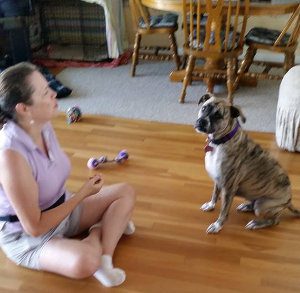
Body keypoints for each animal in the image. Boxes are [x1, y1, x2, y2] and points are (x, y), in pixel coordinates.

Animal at [195, 93, 300, 233]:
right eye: (204, 108)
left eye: (218, 116)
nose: (201, 122)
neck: (221, 141)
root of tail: (289, 199)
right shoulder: (218, 180)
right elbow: (214, 194)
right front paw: (211, 205)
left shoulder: (228, 188)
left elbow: (223, 211)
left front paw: (218, 225)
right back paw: (247, 206)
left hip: (261, 205)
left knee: (274, 220)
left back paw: (256, 223)